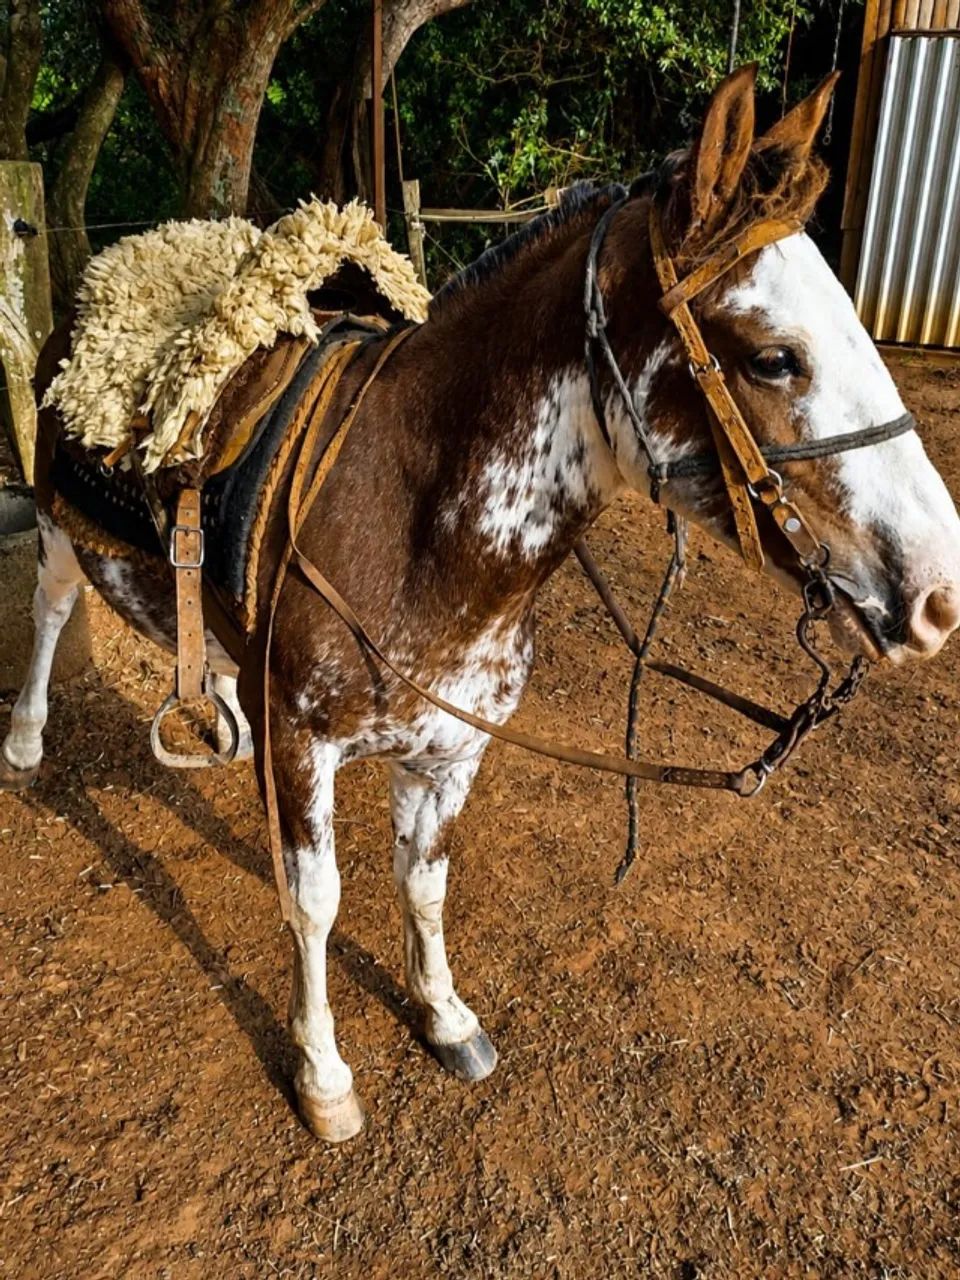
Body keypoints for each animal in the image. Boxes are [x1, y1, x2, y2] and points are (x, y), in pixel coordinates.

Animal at [4, 67, 960, 1144]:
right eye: (773, 357)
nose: (937, 591)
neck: (410, 522)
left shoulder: (452, 748)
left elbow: (423, 881)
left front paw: (444, 1013)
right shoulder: (307, 747)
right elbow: (315, 903)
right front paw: (323, 1072)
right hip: (56, 525)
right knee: (48, 608)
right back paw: (27, 742)